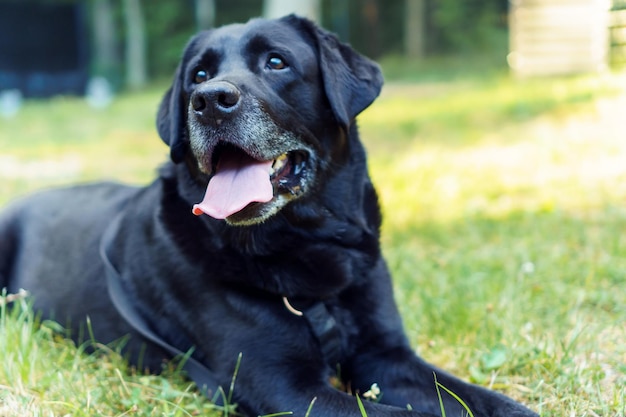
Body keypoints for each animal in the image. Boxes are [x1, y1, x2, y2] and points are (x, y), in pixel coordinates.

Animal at [0, 14, 536, 416]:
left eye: (276, 62)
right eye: (197, 75)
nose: (209, 100)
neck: (310, 249)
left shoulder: (386, 354)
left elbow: (478, 399)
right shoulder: (285, 387)